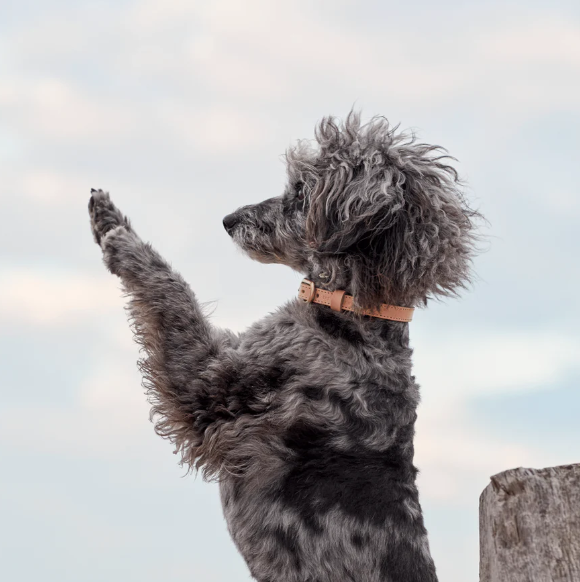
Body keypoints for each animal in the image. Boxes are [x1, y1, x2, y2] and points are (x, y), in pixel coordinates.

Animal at [88, 110, 480, 582]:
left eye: (300, 191)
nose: (228, 219)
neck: (353, 318)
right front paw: (107, 216)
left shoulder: (211, 383)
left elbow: (171, 290)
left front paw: (120, 238)